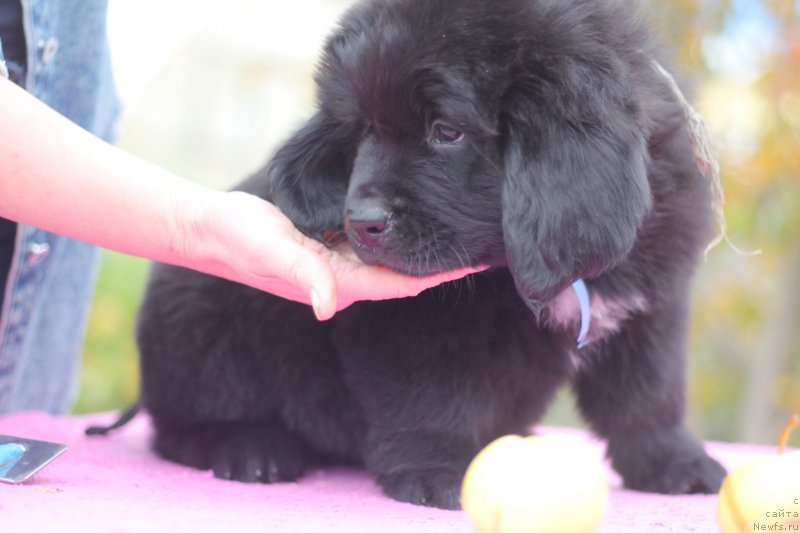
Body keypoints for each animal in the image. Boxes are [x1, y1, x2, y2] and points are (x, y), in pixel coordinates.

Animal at [136, 0, 724, 510]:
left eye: (447, 132)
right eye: (363, 129)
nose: (361, 221)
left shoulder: (652, 307)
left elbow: (648, 394)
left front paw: (675, 463)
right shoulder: (413, 324)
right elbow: (430, 396)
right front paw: (439, 472)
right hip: (198, 304)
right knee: (176, 425)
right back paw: (246, 446)